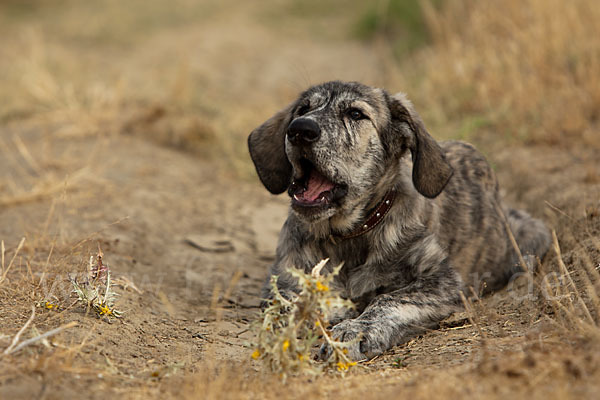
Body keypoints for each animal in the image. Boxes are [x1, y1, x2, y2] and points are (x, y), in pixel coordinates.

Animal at [246, 79, 552, 360]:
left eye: (355, 114)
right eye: (303, 109)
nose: (300, 129)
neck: (350, 235)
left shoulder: (442, 279)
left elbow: (390, 299)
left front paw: (355, 330)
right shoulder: (283, 278)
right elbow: (294, 298)